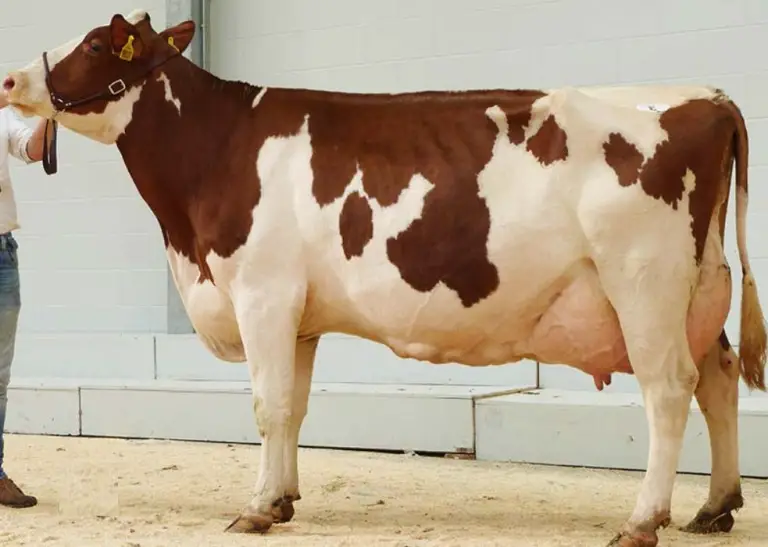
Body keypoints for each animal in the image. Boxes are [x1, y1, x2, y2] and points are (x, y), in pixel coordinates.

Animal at [2, 9, 765, 547]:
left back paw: (643, 518)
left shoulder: (263, 293)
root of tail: (704, 96)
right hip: (699, 288)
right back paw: (714, 504)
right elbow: (294, 408)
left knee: (669, 390)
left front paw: (255, 507)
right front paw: (284, 498)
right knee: (719, 376)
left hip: (644, 282)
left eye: (95, 44)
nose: (11, 80)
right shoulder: (299, 314)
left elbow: (267, 406)